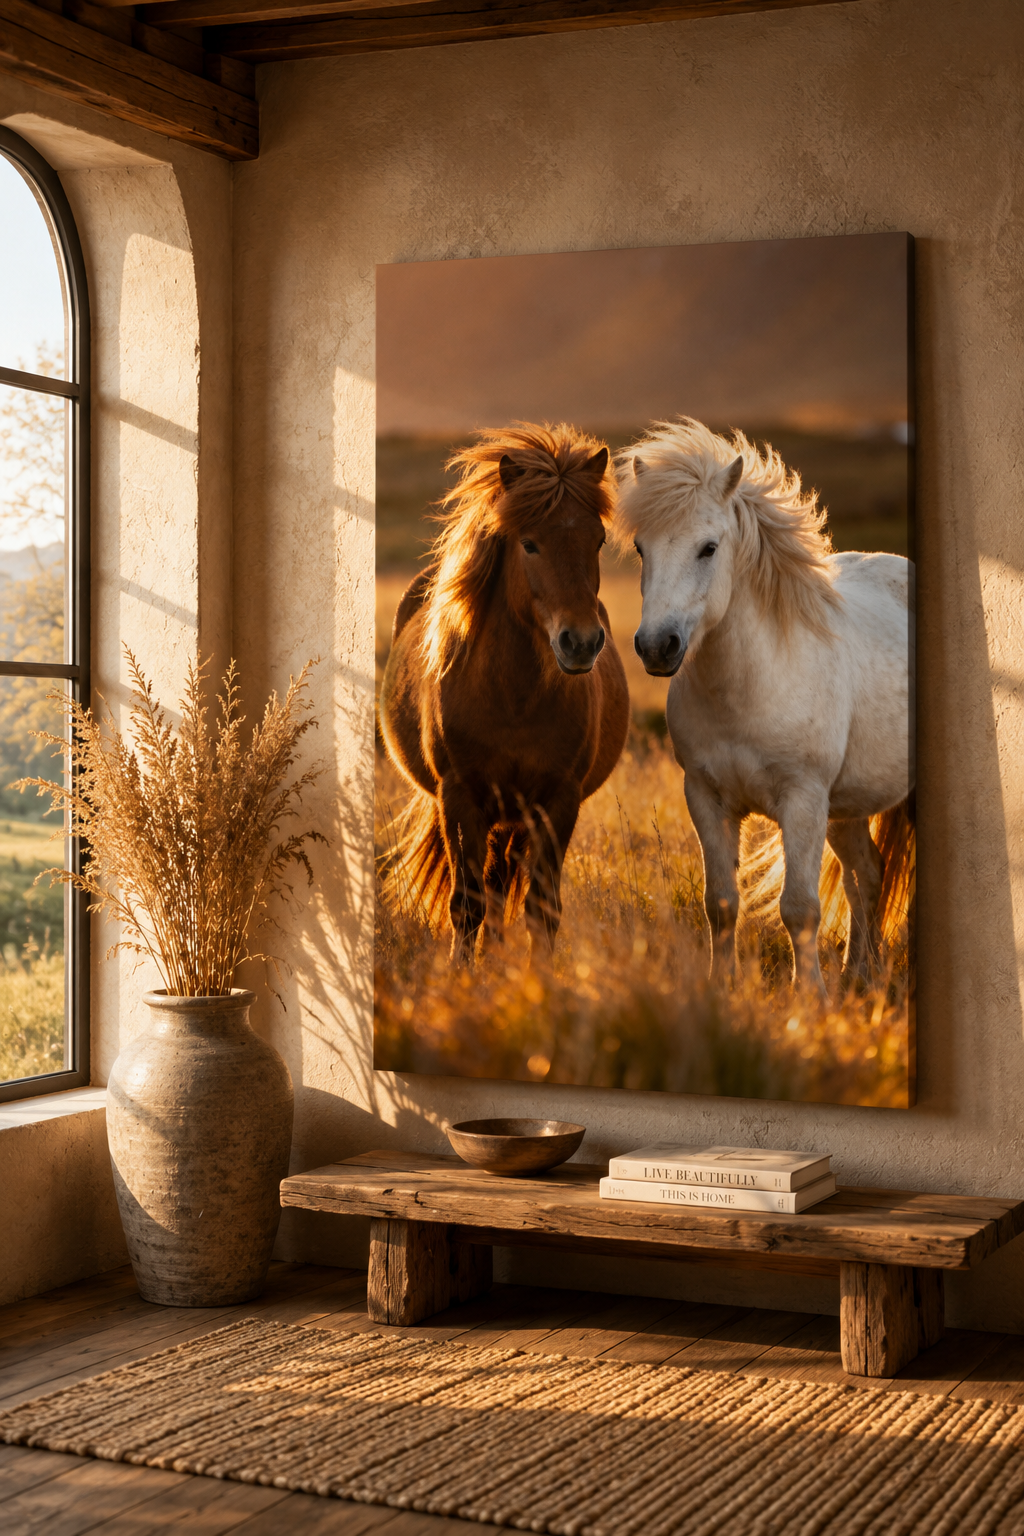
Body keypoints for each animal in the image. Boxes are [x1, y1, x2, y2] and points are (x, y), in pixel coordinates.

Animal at [379, 423, 630, 964]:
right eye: (529, 544)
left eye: (598, 540)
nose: (581, 642)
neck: (514, 700)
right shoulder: (460, 799)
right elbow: (466, 904)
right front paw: (462, 975)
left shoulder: (558, 802)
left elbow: (541, 907)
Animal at [614, 417, 914, 994]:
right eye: (641, 548)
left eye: (708, 548)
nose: (657, 647)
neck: (749, 690)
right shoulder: (705, 797)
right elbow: (721, 902)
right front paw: (722, 987)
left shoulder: (802, 800)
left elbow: (799, 908)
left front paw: (809, 998)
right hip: (845, 807)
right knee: (866, 876)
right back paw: (859, 977)